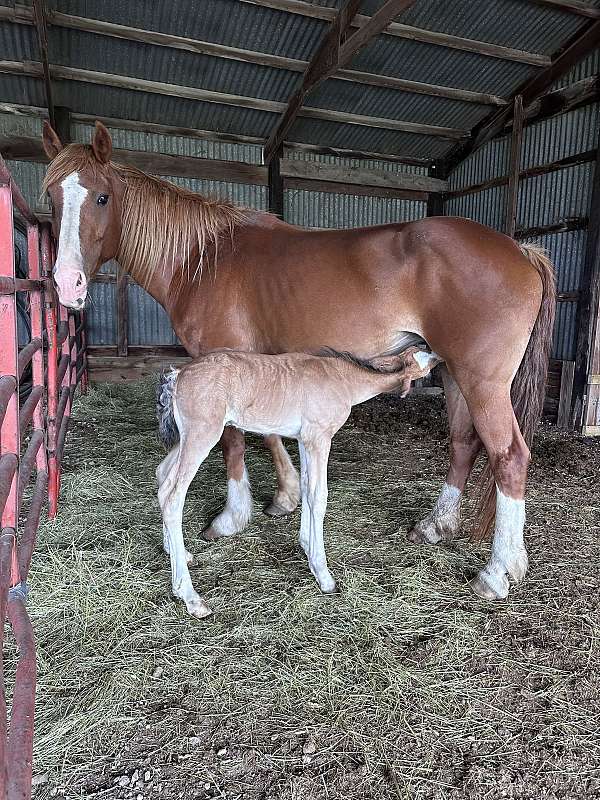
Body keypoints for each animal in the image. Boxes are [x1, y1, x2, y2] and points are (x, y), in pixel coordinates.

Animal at [155, 347, 441, 617]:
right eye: (418, 356)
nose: (438, 357)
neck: (344, 379)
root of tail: (178, 375)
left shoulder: (305, 439)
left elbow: (306, 487)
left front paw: (305, 545)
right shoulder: (319, 437)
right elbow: (319, 495)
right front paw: (323, 574)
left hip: (186, 438)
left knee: (162, 477)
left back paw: (178, 553)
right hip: (202, 434)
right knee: (173, 495)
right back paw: (189, 596)